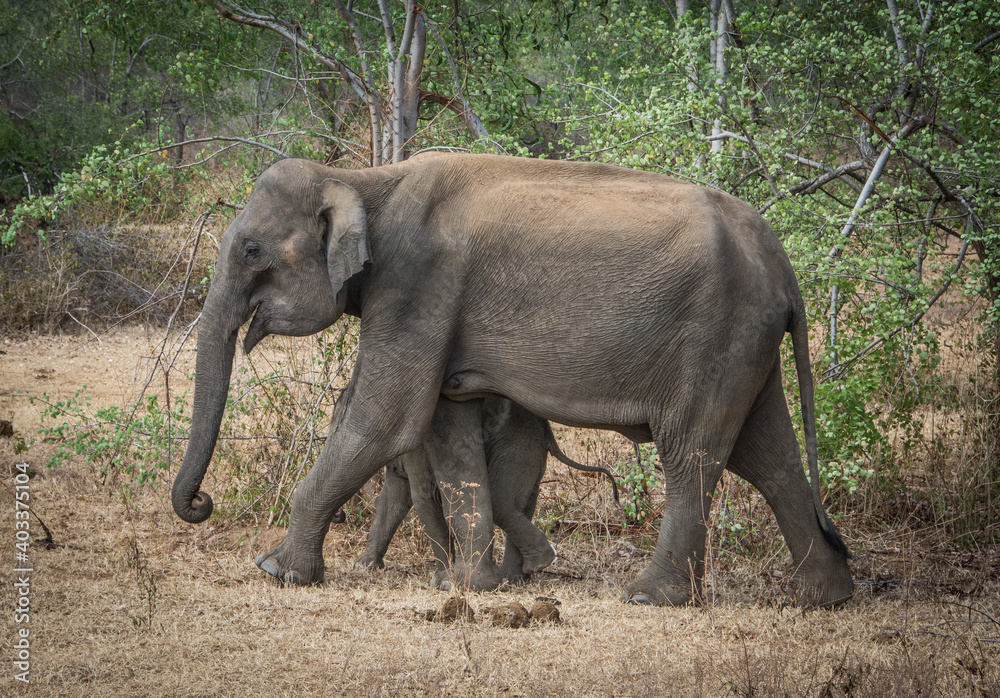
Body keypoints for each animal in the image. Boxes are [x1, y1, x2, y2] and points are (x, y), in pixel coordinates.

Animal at [352, 394, 619, 589]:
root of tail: (547, 430)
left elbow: (423, 498)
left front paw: (441, 579)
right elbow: (393, 497)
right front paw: (363, 567)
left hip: (517, 445)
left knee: (502, 504)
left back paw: (527, 569)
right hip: (529, 449)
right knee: (521, 505)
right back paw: (517, 577)